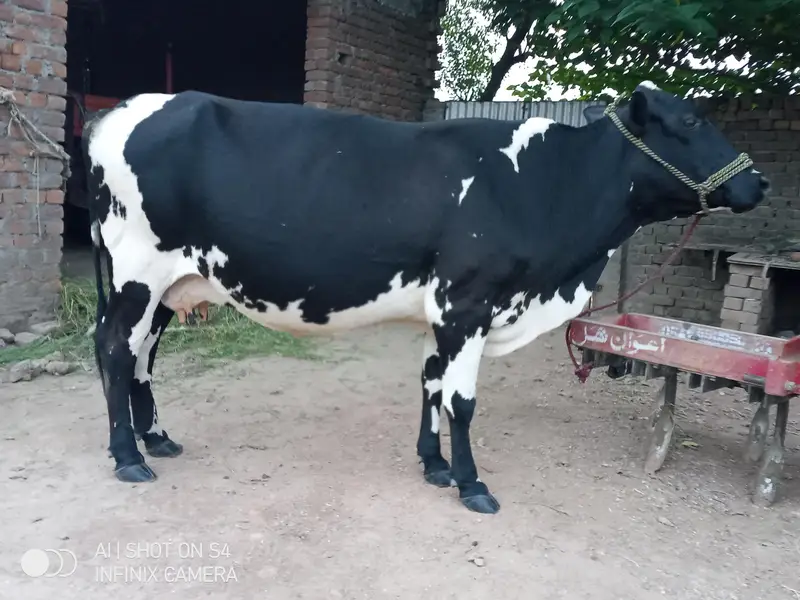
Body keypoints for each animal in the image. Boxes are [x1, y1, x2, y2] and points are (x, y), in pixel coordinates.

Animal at [83, 81, 768, 514]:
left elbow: (431, 384)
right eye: (691, 122)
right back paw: (127, 456)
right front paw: (470, 483)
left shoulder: (441, 310)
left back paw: (155, 438)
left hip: (169, 284)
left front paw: (433, 465)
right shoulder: (468, 302)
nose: (758, 183)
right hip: (137, 269)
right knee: (116, 348)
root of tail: (122, 111)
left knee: (141, 356)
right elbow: (461, 400)